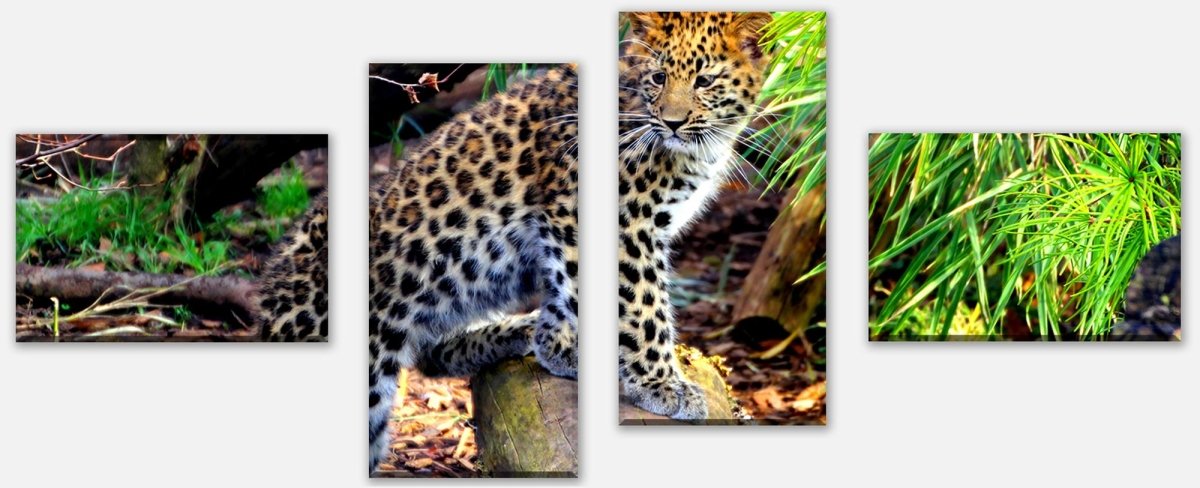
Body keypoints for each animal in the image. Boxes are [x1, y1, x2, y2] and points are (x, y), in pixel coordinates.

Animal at [617, 11, 774, 421]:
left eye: (704, 81)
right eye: (659, 77)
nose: (672, 122)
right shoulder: (630, 226)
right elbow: (643, 302)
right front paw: (659, 383)